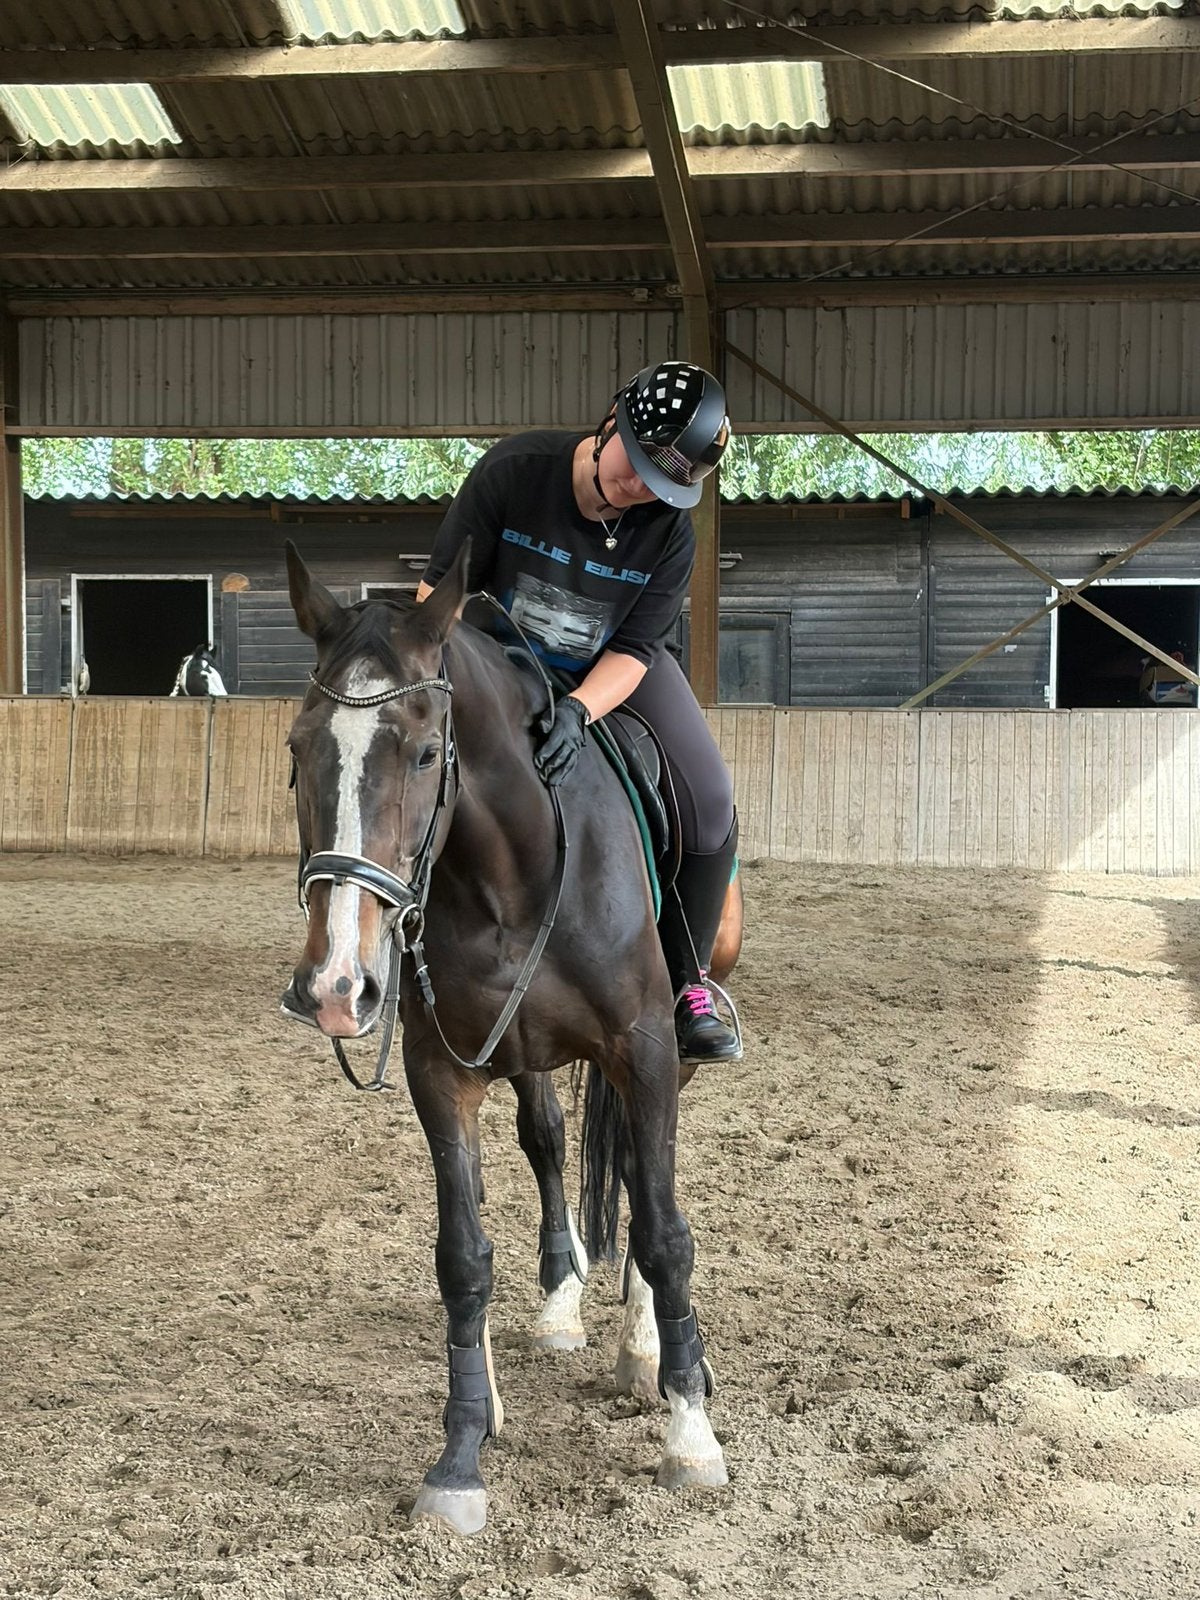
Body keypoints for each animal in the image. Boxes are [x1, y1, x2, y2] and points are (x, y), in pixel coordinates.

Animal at [280, 540, 729, 1535]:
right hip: (519, 1054)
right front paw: (462, 1449)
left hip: (667, 1052)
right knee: (549, 1139)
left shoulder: (643, 1050)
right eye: (298, 749)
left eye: (425, 750)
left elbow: (664, 1230)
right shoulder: (440, 1069)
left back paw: (646, 1348)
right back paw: (559, 1305)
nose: (335, 988)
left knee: (639, 1177)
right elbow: (463, 1257)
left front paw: (690, 1433)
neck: (507, 875)